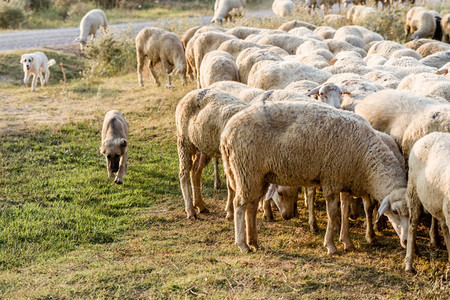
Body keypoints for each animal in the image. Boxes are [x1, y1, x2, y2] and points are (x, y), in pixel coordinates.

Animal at [221, 100, 412, 253]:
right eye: (394, 211)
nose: (406, 241)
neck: (365, 160)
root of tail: (226, 133)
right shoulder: (331, 179)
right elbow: (333, 214)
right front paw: (331, 246)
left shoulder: (344, 180)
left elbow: (344, 211)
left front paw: (347, 242)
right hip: (246, 170)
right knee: (240, 205)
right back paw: (243, 245)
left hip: (259, 176)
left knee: (252, 206)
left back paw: (254, 242)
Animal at [404, 132, 450, 274]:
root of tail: (433, 134)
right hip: (413, 190)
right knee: (412, 224)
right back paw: (409, 264)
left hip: (438, 203)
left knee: (444, 227)